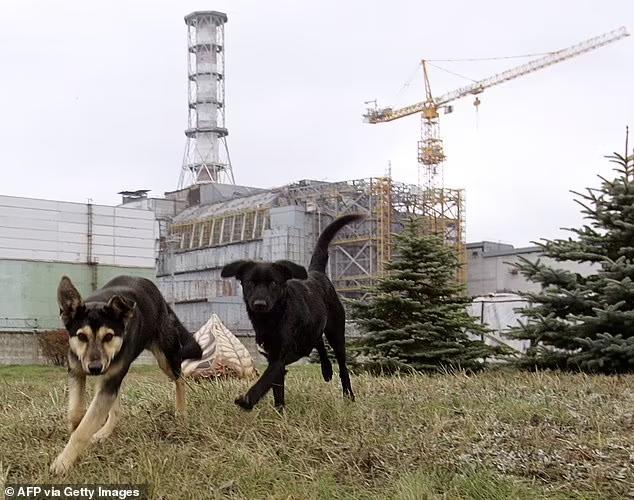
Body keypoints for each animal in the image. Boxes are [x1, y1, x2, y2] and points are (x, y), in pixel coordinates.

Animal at [50, 276, 201, 474]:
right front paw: (75, 432)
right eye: (82, 336)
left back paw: (181, 413)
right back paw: (104, 432)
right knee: (115, 410)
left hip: (166, 358)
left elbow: (84, 429)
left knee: (180, 378)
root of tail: (161, 299)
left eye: (108, 336)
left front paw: (63, 462)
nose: (95, 368)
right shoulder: (77, 371)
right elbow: (76, 412)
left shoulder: (109, 380)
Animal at [221, 213, 360, 408]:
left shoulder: (279, 358)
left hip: (336, 333)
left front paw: (247, 400)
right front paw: (280, 410)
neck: (272, 319)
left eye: (273, 283)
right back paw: (326, 370)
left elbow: (265, 380)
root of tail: (316, 273)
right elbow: (277, 389)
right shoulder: (272, 357)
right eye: (250, 283)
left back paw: (348, 395)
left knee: (342, 366)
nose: (259, 304)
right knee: (318, 341)